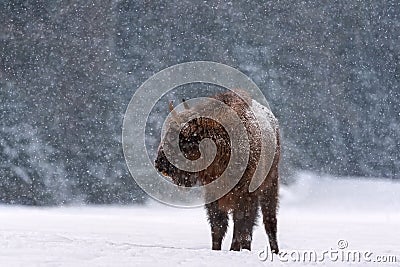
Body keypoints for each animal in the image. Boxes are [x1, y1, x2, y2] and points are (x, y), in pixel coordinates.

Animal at [155, 90, 280, 253]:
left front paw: (235, 249)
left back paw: (274, 251)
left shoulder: (245, 194)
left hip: (270, 186)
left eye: (182, 138)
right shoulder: (213, 195)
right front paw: (216, 249)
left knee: (269, 221)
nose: (159, 164)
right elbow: (218, 225)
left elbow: (241, 224)